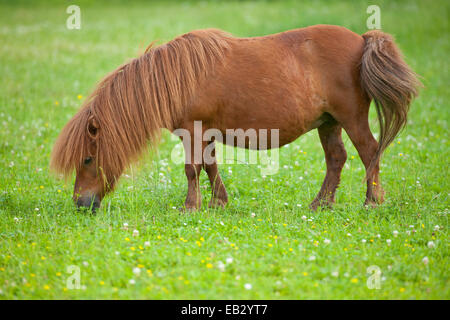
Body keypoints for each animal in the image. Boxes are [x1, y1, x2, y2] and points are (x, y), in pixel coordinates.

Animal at [50, 25, 422, 210]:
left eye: (87, 159)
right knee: (337, 159)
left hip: (351, 118)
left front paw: (191, 207)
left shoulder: (193, 131)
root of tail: (362, 39)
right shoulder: (205, 133)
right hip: (329, 123)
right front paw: (218, 202)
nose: (80, 204)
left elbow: (192, 169)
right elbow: (210, 166)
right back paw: (321, 204)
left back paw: (371, 202)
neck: (175, 79)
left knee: (369, 153)